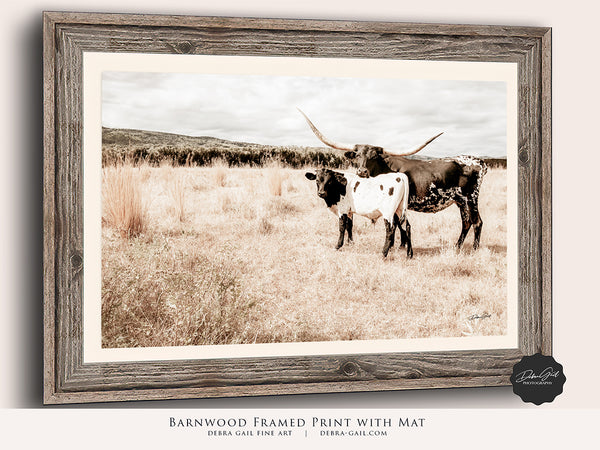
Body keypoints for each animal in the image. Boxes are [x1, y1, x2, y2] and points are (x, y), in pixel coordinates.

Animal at [300, 109, 488, 250]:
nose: (362, 171)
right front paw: (401, 245)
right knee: (466, 222)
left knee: (477, 222)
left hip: (471, 198)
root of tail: (479, 162)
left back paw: (474, 249)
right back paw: (457, 246)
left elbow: (397, 224)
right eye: (358, 155)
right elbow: (399, 224)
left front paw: (397, 246)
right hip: (460, 201)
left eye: (374, 156)